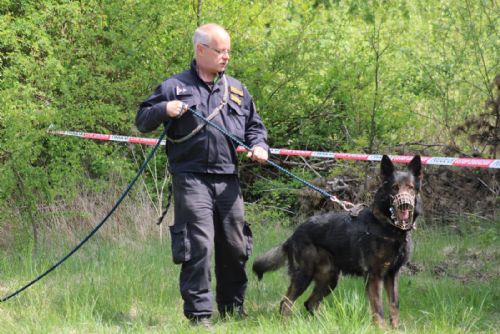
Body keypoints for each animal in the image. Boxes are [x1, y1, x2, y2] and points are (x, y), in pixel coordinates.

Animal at [254, 155, 422, 328]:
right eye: (395, 188)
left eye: (410, 188)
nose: (406, 205)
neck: (388, 226)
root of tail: (293, 234)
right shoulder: (374, 276)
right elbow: (378, 309)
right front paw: (382, 329)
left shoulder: (392, 275)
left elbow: (394, 306)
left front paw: (396, 329)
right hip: (304, 275)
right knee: (285, 303)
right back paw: (286, 326)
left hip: (329, 279)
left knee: (310, 303)